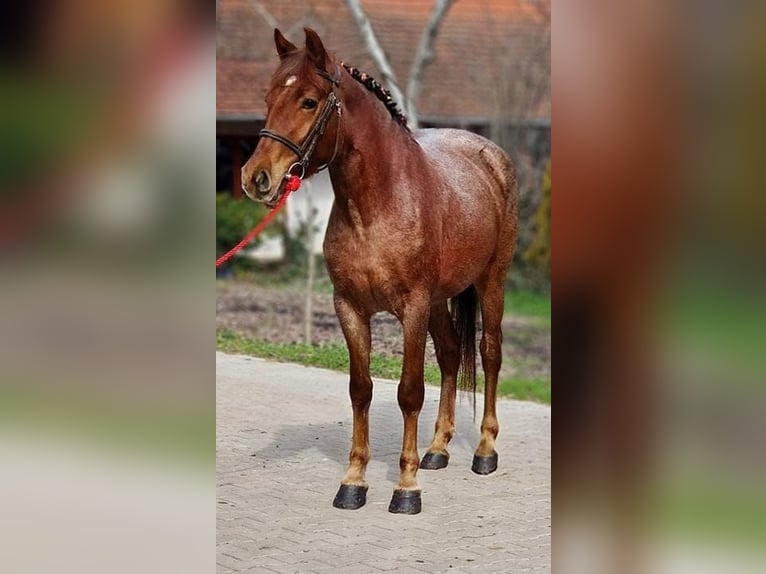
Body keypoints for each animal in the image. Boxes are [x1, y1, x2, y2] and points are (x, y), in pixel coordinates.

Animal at [243, 28, 520, 516]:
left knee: (489, 354)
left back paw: (484, 452)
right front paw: (353, 482)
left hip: (491, 281)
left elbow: (409, 391)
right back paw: (437, 450)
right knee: (451, 355)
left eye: (309, 101)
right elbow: (361, 389)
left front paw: (405, 488)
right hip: (439, 301)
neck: (377, 206)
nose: (255, 177)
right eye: (269, 96)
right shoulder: (350, 308)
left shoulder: (411, 309)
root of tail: (490, 155)